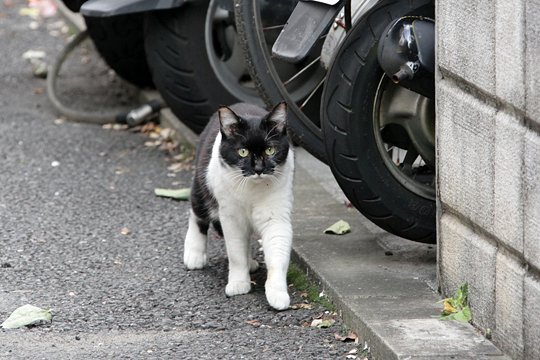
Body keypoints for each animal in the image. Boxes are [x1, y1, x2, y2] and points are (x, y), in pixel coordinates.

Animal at [185, 102, 296, 310]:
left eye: (270, 150)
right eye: (242, 152)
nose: (259, 169)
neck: (253, 188)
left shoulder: (277, 216)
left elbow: (277, 253)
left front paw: (277, 293)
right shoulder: (231, 217)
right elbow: (235, 252)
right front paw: (238, 284)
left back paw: (251, 261)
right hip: (202, 184)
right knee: (197, 214)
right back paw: (194, 254)